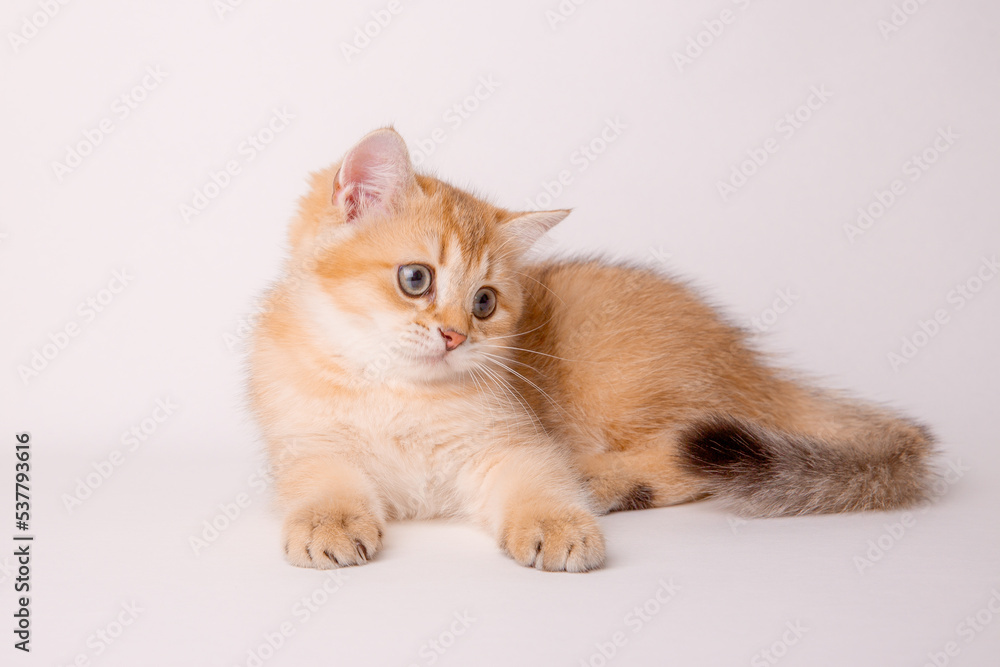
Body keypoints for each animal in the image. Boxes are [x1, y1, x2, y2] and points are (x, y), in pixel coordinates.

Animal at [250, 126, 936, 576]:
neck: (396, 392)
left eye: (484, 303)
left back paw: (600, 479)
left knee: (688, 454)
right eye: (415, 279)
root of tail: (754, 365)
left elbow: (536, 479)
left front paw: (559, 524)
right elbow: (322, 481)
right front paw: (330, 522)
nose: (455, 336)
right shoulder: (304, 444)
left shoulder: (509, 441)